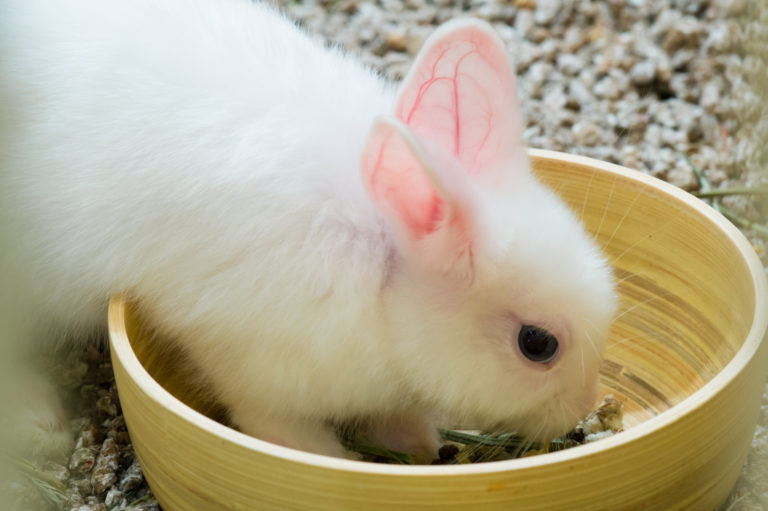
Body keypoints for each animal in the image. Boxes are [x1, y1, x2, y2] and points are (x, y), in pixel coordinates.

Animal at [0, 0, 617, 462]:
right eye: (536, 344)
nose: (582, 405)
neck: (380, 264)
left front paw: (417, 442)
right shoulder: (246, 361)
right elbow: (277, 428)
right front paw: (336, 459)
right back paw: (39, 423)